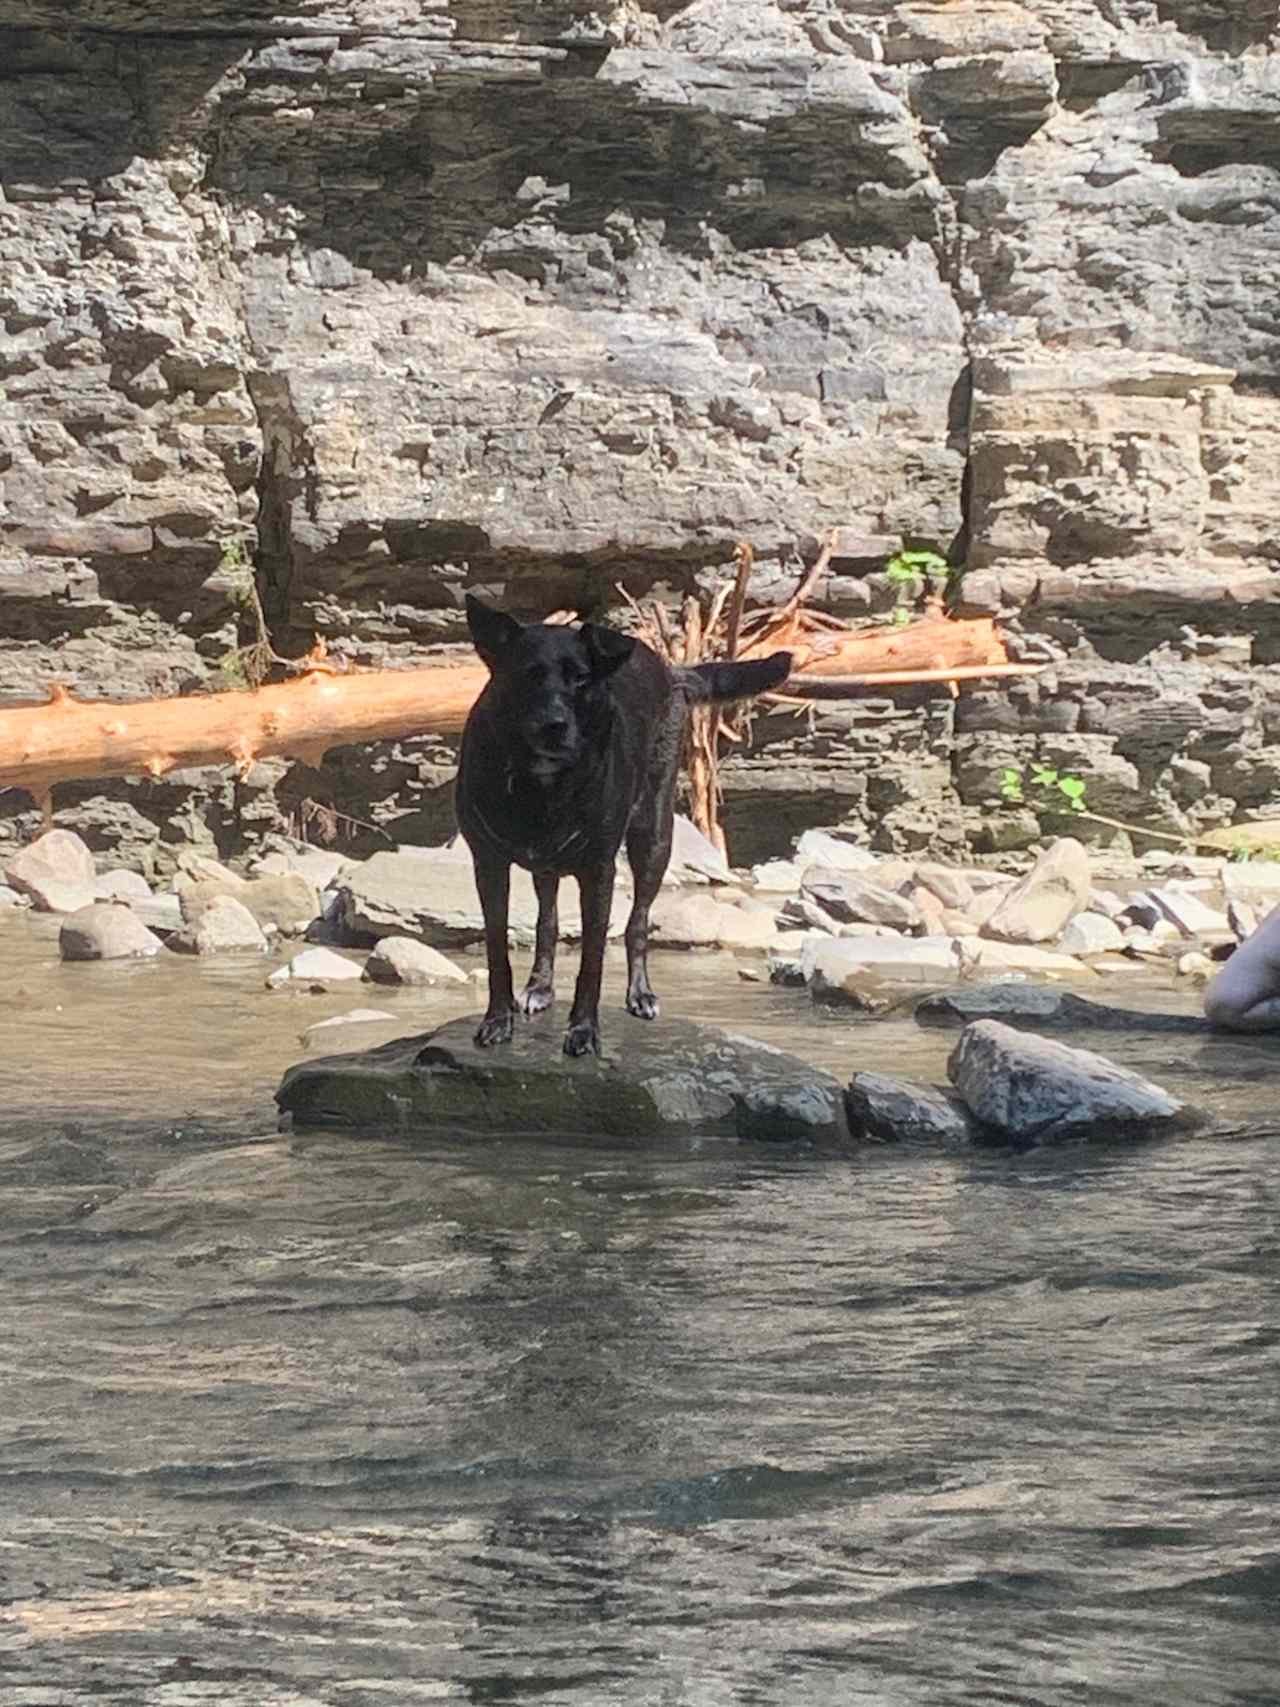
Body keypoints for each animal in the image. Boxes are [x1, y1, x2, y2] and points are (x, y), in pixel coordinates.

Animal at [457, 597, 798, 1051]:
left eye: (581, 679)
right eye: (527, 675)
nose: (554, 725)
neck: (540, 782)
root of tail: (671, 671)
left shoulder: (599, 871)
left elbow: (593, 960)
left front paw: (584, 1030)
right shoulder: (489, 864)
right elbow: (498, 950)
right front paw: (498, 1020)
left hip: (653, 837)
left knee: (637, 922)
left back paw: (641, 994)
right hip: (551, 865)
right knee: (548, 919)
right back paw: (540, 987)